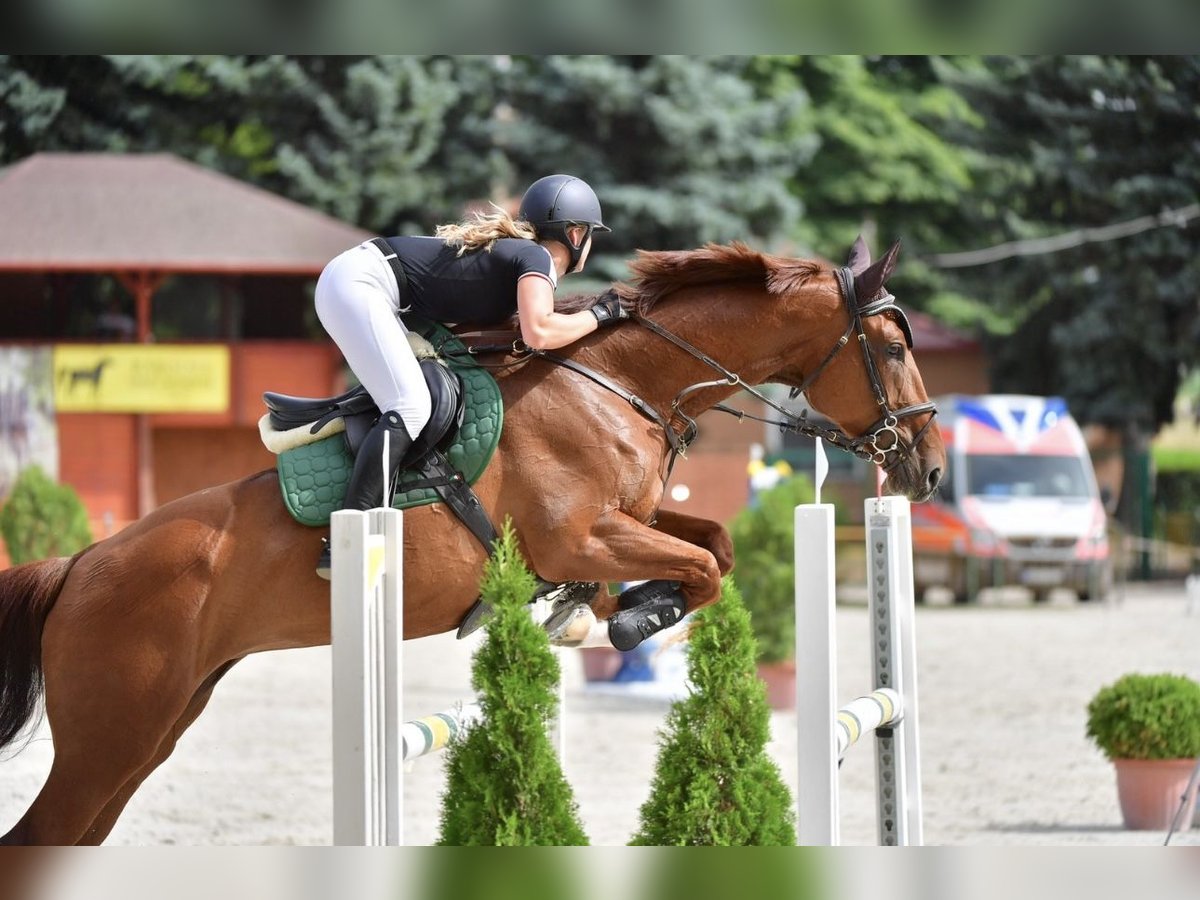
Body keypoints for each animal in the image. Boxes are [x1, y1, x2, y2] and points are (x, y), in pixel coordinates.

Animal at [2, 234, 945, 844]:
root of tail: (79, 564)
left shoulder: (625, 523)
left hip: (154, 730)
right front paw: (633, 618)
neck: (622, 382)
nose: (929, 470)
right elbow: (702, 567)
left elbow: (713, 542)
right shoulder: (580, 537)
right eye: (894, 346)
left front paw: (606, 611)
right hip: (113, 736)